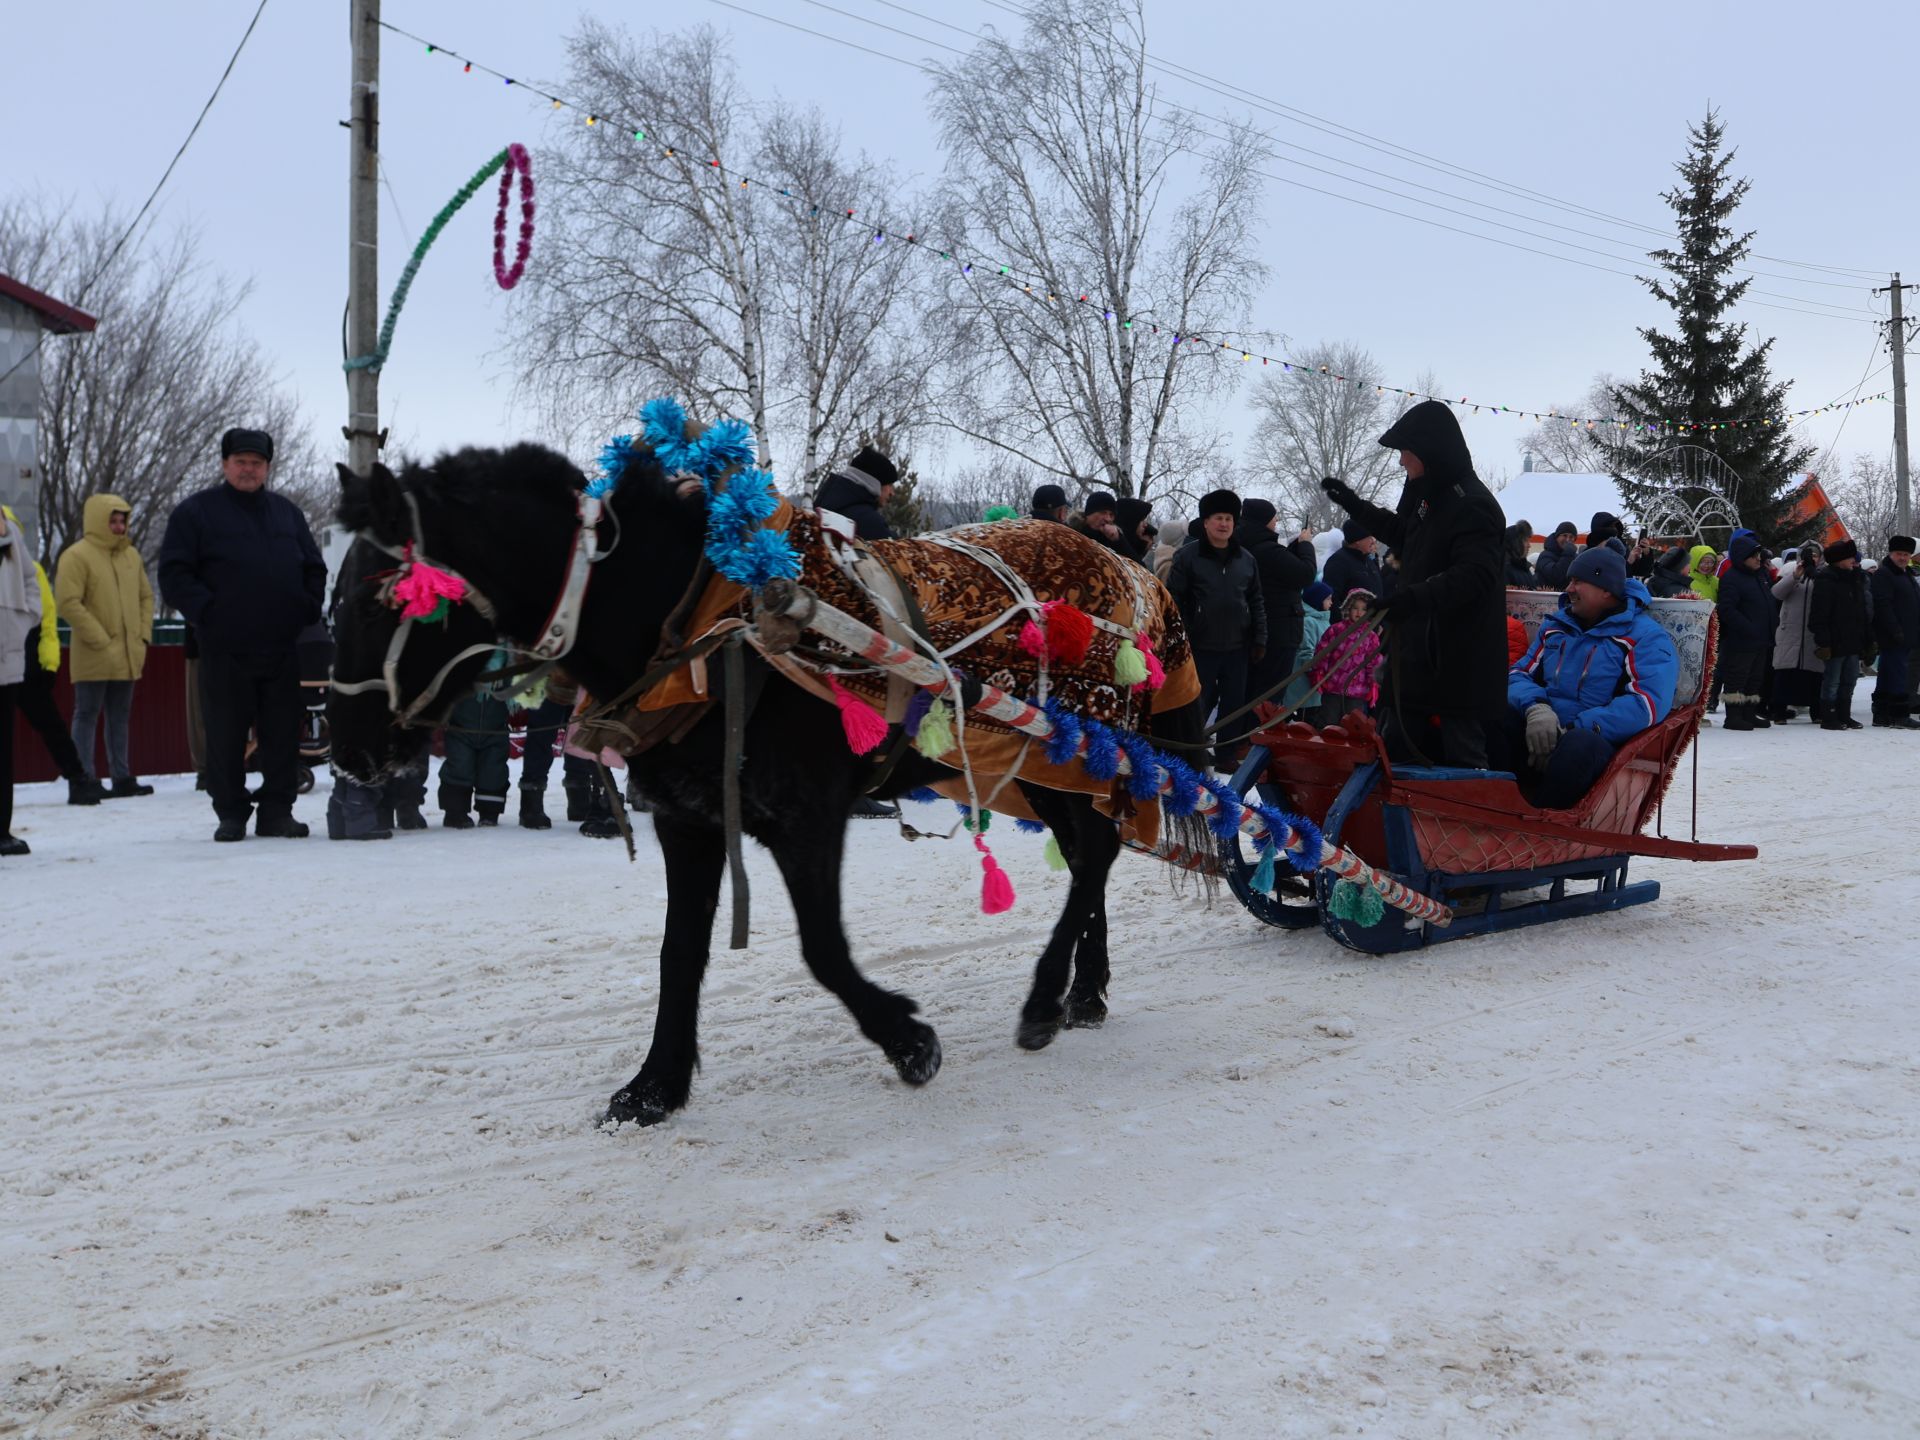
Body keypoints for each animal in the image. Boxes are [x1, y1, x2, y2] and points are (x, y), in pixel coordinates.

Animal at [330, 445, 1198, 1121]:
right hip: (1038, 765)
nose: (349, 756)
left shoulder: (807, 817)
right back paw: (1083, 992)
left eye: (378, 599)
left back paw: (1047, 999)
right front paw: (653, 1088)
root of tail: (1134, 574)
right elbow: (678, 953)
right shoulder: (689, 820)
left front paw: (908, 1042)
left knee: (1095, 854)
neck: (708, 624)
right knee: (1092, 854)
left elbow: (822, 949)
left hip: (1075, 751)